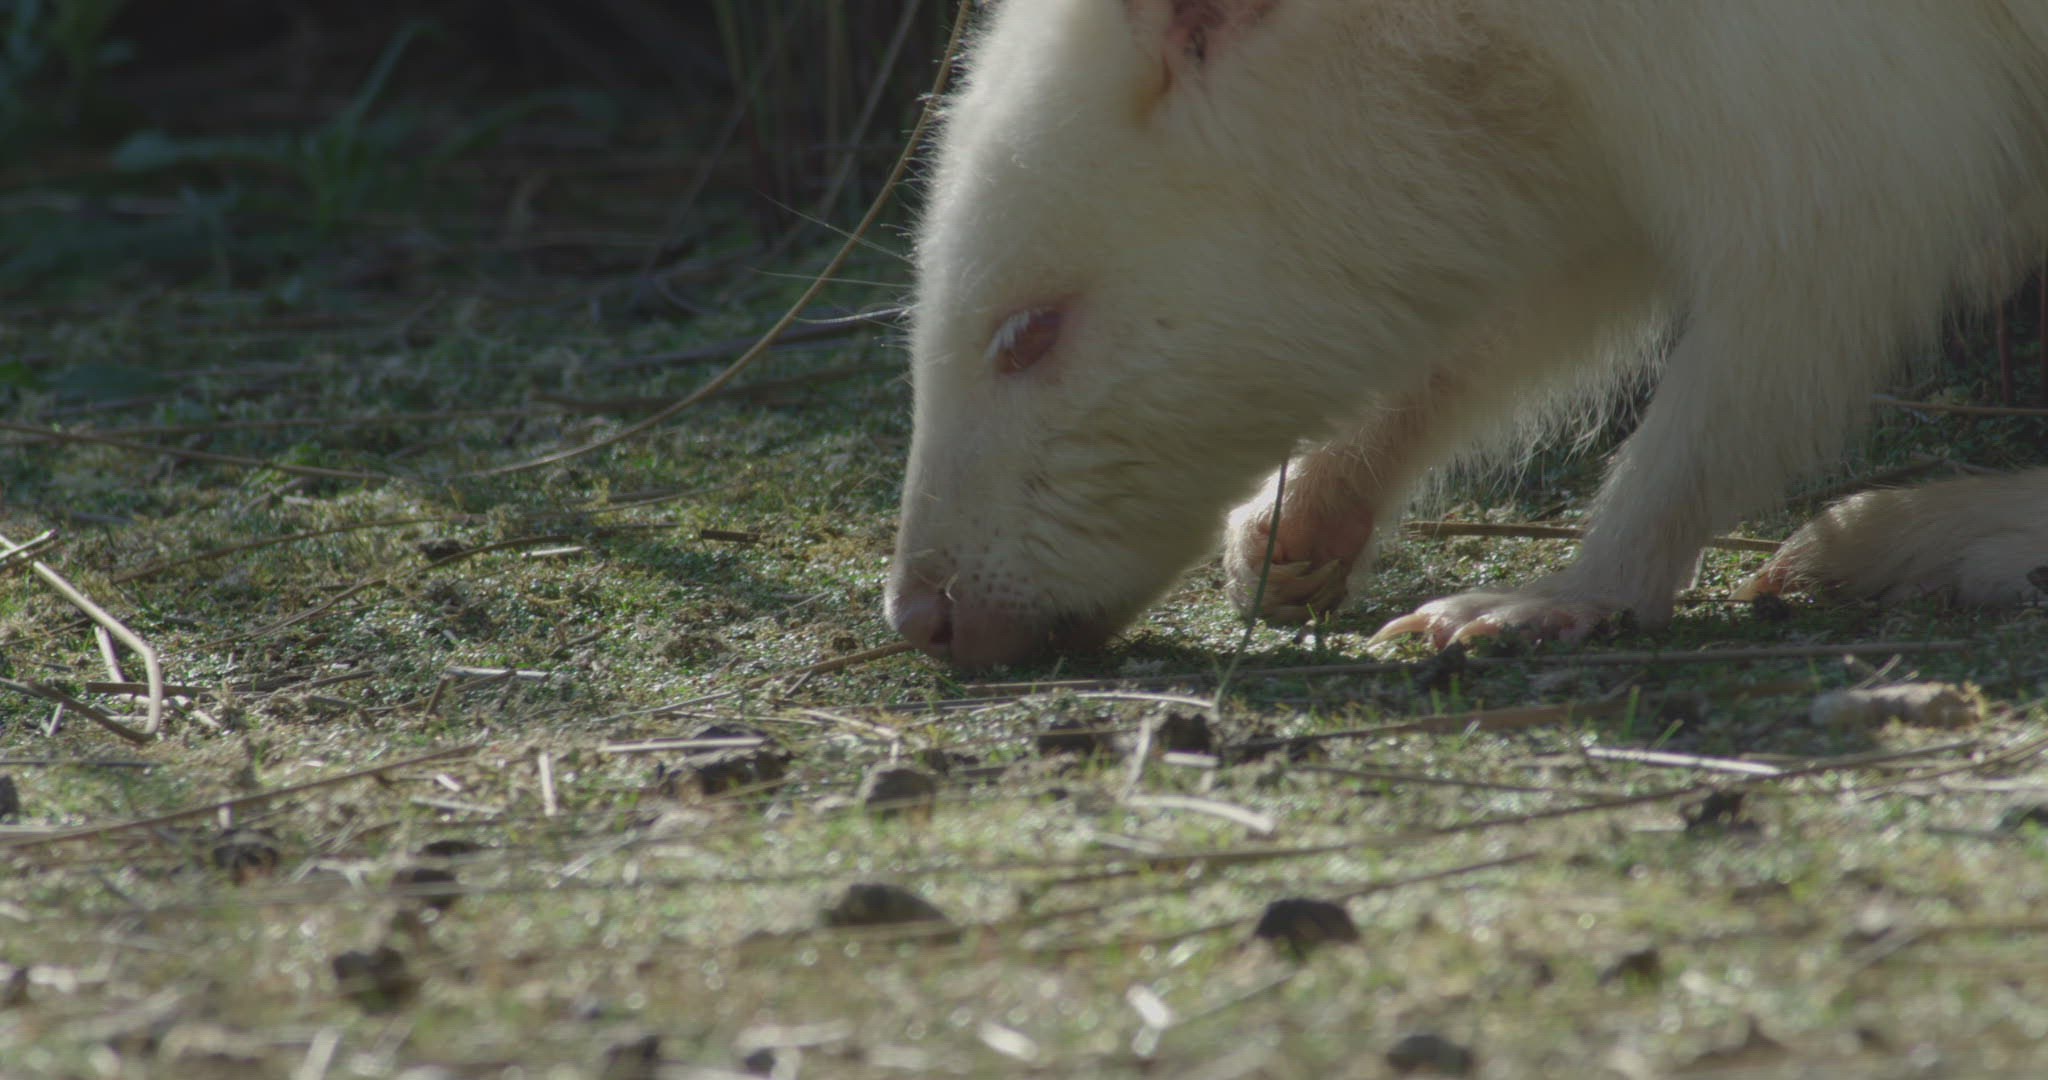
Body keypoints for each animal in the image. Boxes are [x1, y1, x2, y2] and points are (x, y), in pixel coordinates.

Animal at [885, 0, 2048, 668]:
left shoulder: (1805, 75)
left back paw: (1930, 535)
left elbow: (1816, 267)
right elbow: (1531, 294)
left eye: (1029, 334)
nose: (923, 622)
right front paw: (1296, 517)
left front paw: (1563, 593)